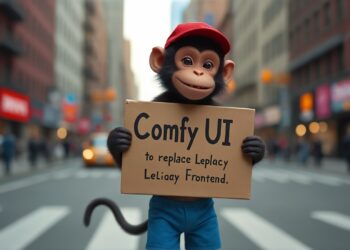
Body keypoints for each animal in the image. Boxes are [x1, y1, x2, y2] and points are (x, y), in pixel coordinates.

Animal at [85, 22, 266, 250]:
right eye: (187, 61)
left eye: (208, 64)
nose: (198, 72)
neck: (187, 101)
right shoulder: (159, 100)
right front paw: (118, 140)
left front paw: (256, 147)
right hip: (161, 216)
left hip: (206, 222)